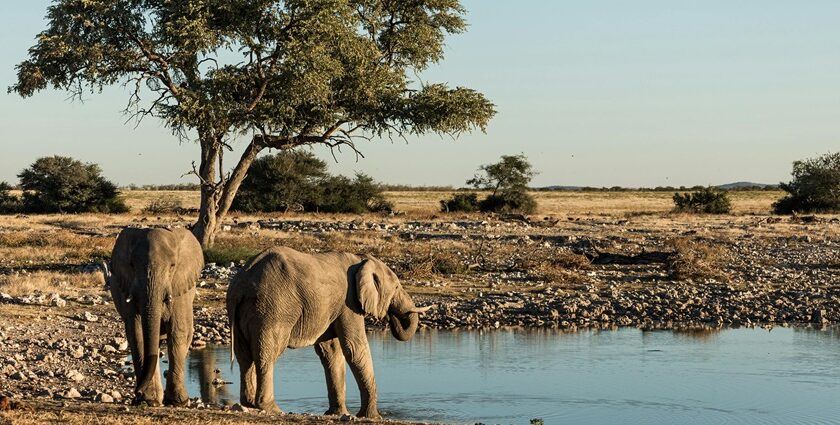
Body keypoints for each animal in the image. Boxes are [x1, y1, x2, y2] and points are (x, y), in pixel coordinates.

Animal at [105, 227, 205, 406]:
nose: (136, 393)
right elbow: (138, 333)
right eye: (132, 265)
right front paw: (149, 400)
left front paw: (178, 402)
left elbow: (178, 332)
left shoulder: (180, 289)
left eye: (172, 266)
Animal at [226, 247, 430, 416]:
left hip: (242, 313)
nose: (392, 318)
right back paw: (271, 408)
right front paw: (372, 417)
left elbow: (331, 352)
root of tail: (241, 284)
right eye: (396, 287)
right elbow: (354, 348)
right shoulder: (349, 303)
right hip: (273, 309)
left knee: (244, 357)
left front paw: (338, 414)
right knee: (267, 354)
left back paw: (249, 404)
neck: (361, 259)